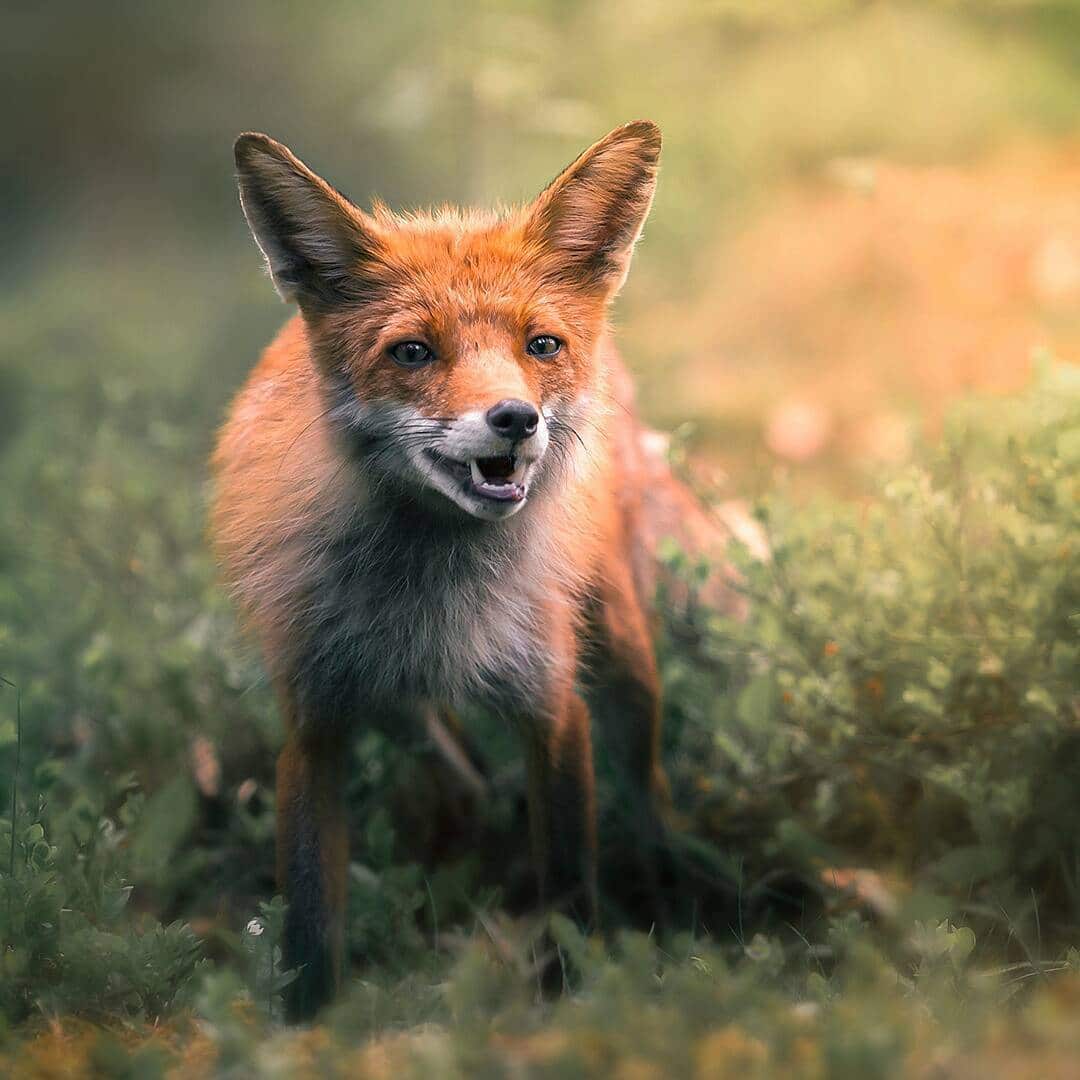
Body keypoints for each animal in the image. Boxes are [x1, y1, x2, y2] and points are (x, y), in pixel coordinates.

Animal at [210, 120, 734, 1019]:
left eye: (540, 345)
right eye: (413, 352)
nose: (515, 419)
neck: (433, 593)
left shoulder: (554, 705)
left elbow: (569, 893)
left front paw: (564, 1011)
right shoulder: (313, 724)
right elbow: (309, 924)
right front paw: (308, 1029)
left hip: (623, 656)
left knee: (648, 788)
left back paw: (677, 886)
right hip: (399, 713)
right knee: (462, 782)